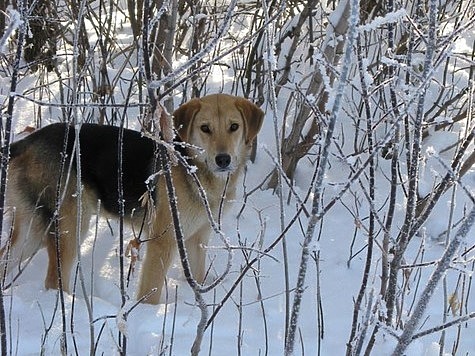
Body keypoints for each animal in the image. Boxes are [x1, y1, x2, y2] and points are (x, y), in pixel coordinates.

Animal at [0, 94, 264, 304]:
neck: (193, 168)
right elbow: (151, 292)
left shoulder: (197, 239)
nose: (223, 159)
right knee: (54, 281)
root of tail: (26, 142)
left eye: (234, 127)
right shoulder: (163, 243)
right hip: (70, 226)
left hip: (33, 231)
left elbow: (197, 277)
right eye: (205, 128)